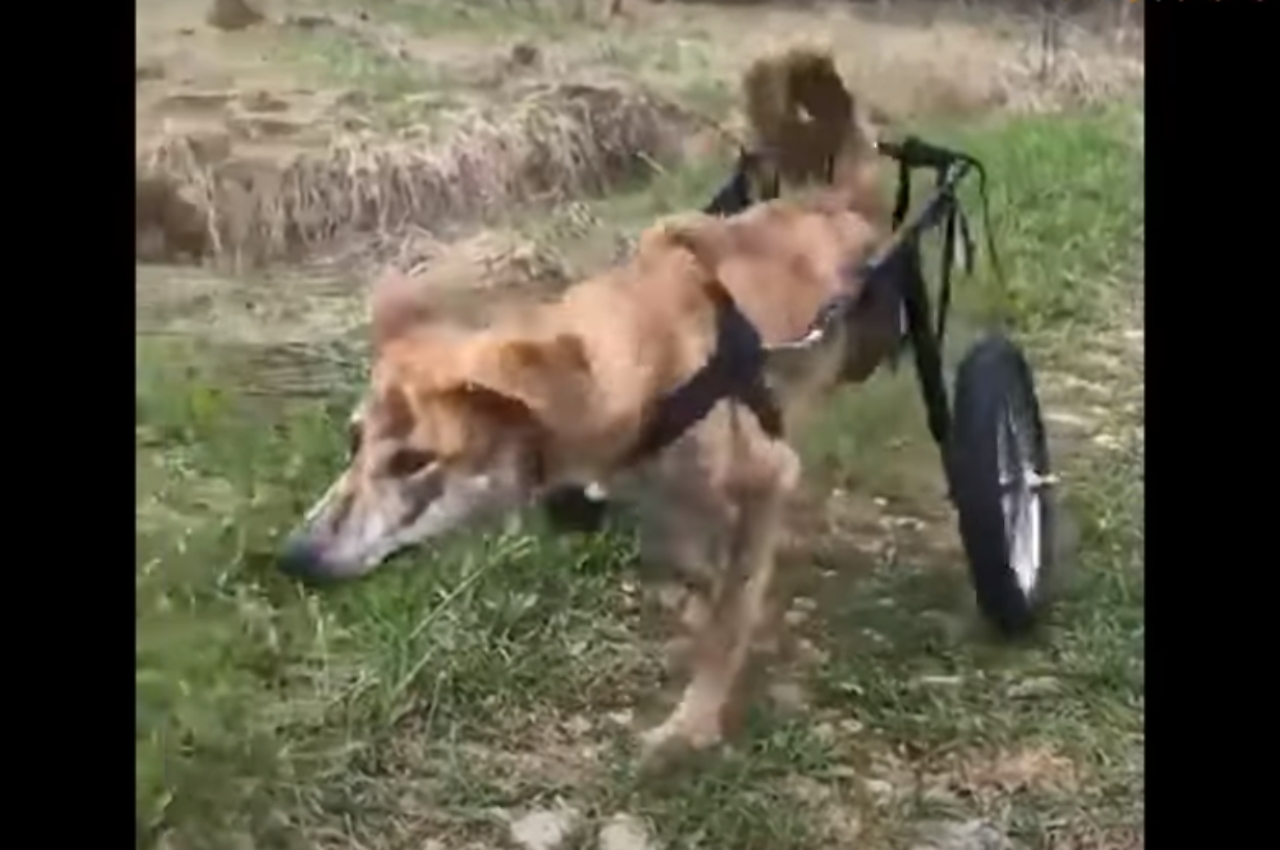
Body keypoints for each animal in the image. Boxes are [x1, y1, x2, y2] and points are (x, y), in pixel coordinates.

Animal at [276, 48, 906, 762]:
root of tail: (827, 198)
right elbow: (704, 577)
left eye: (415, 460)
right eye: (353, 442)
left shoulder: (766, 477)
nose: (293, 558)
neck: (645, 357)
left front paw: (690, 724)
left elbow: (727, 620)